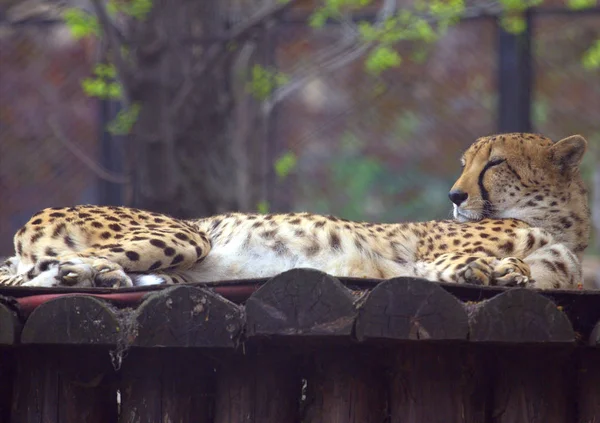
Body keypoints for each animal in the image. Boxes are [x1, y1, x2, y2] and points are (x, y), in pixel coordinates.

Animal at [0, 134, 592, 290]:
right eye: (465, 163)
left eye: (494, 163)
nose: (455, 195)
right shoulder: (427, 258)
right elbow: (477, 264)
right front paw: (488, 270)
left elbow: (526, 272)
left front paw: (501, 272)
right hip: (189, 237)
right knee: (46, 273)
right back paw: (91, 274)